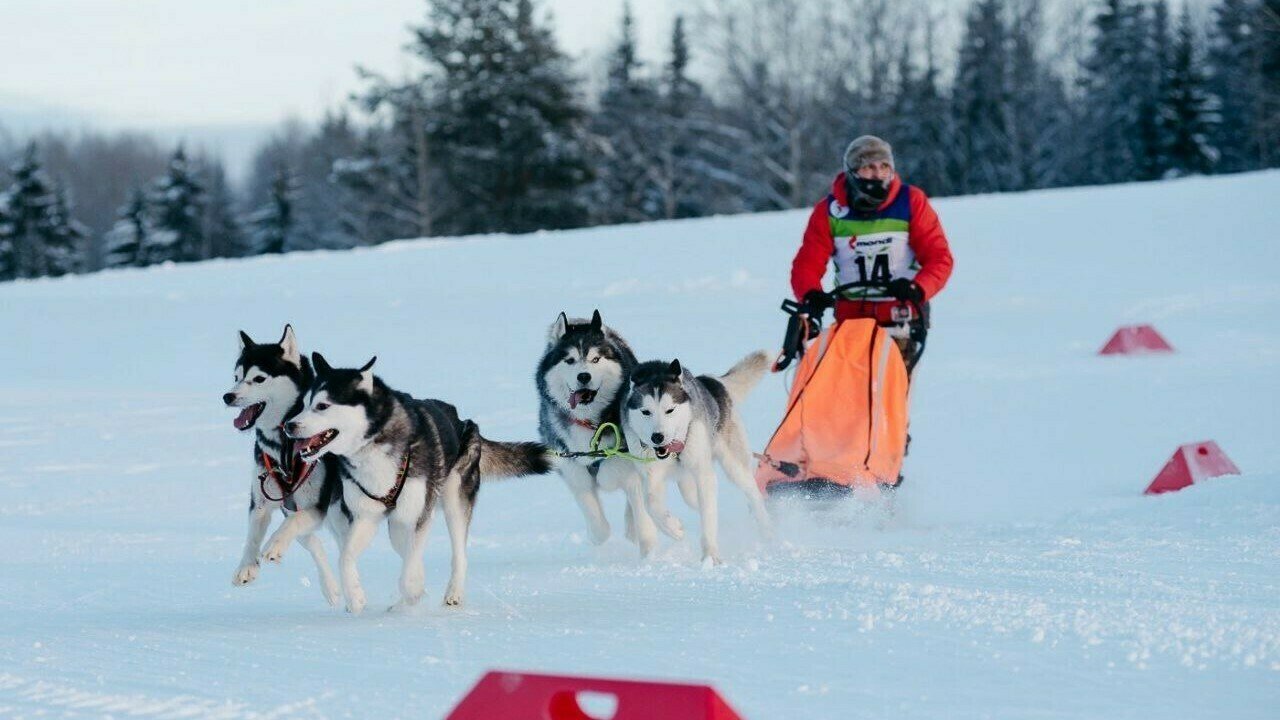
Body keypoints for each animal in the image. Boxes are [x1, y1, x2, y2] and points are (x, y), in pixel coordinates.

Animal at [221, 326, 343, 604]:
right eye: (236, 376)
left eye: (259, 379)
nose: (228, 396)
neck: (284, 445)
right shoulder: (262, 500)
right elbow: (253, 535)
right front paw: (246, 566)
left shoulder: (316, 505)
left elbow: (292, 524)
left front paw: (274, 544)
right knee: (314, 543)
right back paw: (331, 588)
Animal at [285, 351, 550, 609]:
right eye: (305, 404)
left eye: (322, 406)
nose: (289, 425)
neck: (375, 446)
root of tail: (464, 421)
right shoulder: (366, 516)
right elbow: (345, 558)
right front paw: (355, 596)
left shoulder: (419, 514)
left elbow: (410, 565)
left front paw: (412, 590)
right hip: (396, 526)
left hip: (453, 500)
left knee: (458, 554)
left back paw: (452, 593)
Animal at [616, 351, 768, 563]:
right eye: (646, 412)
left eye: (670, 410)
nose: (657, 437)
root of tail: (712, 381)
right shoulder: (651, 475)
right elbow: (651, 503)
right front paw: (674, 528)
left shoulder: (703, 473)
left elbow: (708, 514)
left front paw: (710, 555)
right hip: (686, 479)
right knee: (692, 498)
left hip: (733, 465)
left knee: (752, 493)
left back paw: (768, 531)